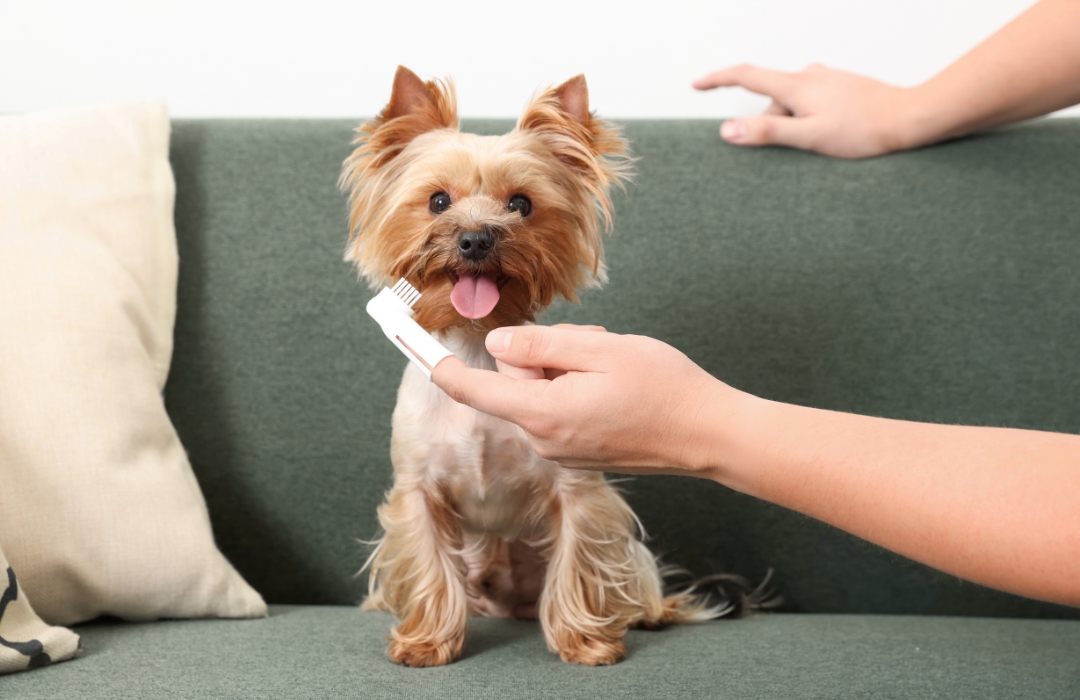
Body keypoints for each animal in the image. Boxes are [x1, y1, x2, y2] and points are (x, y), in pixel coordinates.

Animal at [341, 65, 721, 665]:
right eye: (438, 201)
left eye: (520, 204)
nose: (476, 238)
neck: (474, 346)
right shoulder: (417, 490)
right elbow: (428, 565)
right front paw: (426, 641)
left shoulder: (578, 488)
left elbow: (578, 561)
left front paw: (585, 641)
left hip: (623, 559)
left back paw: (647, 613)